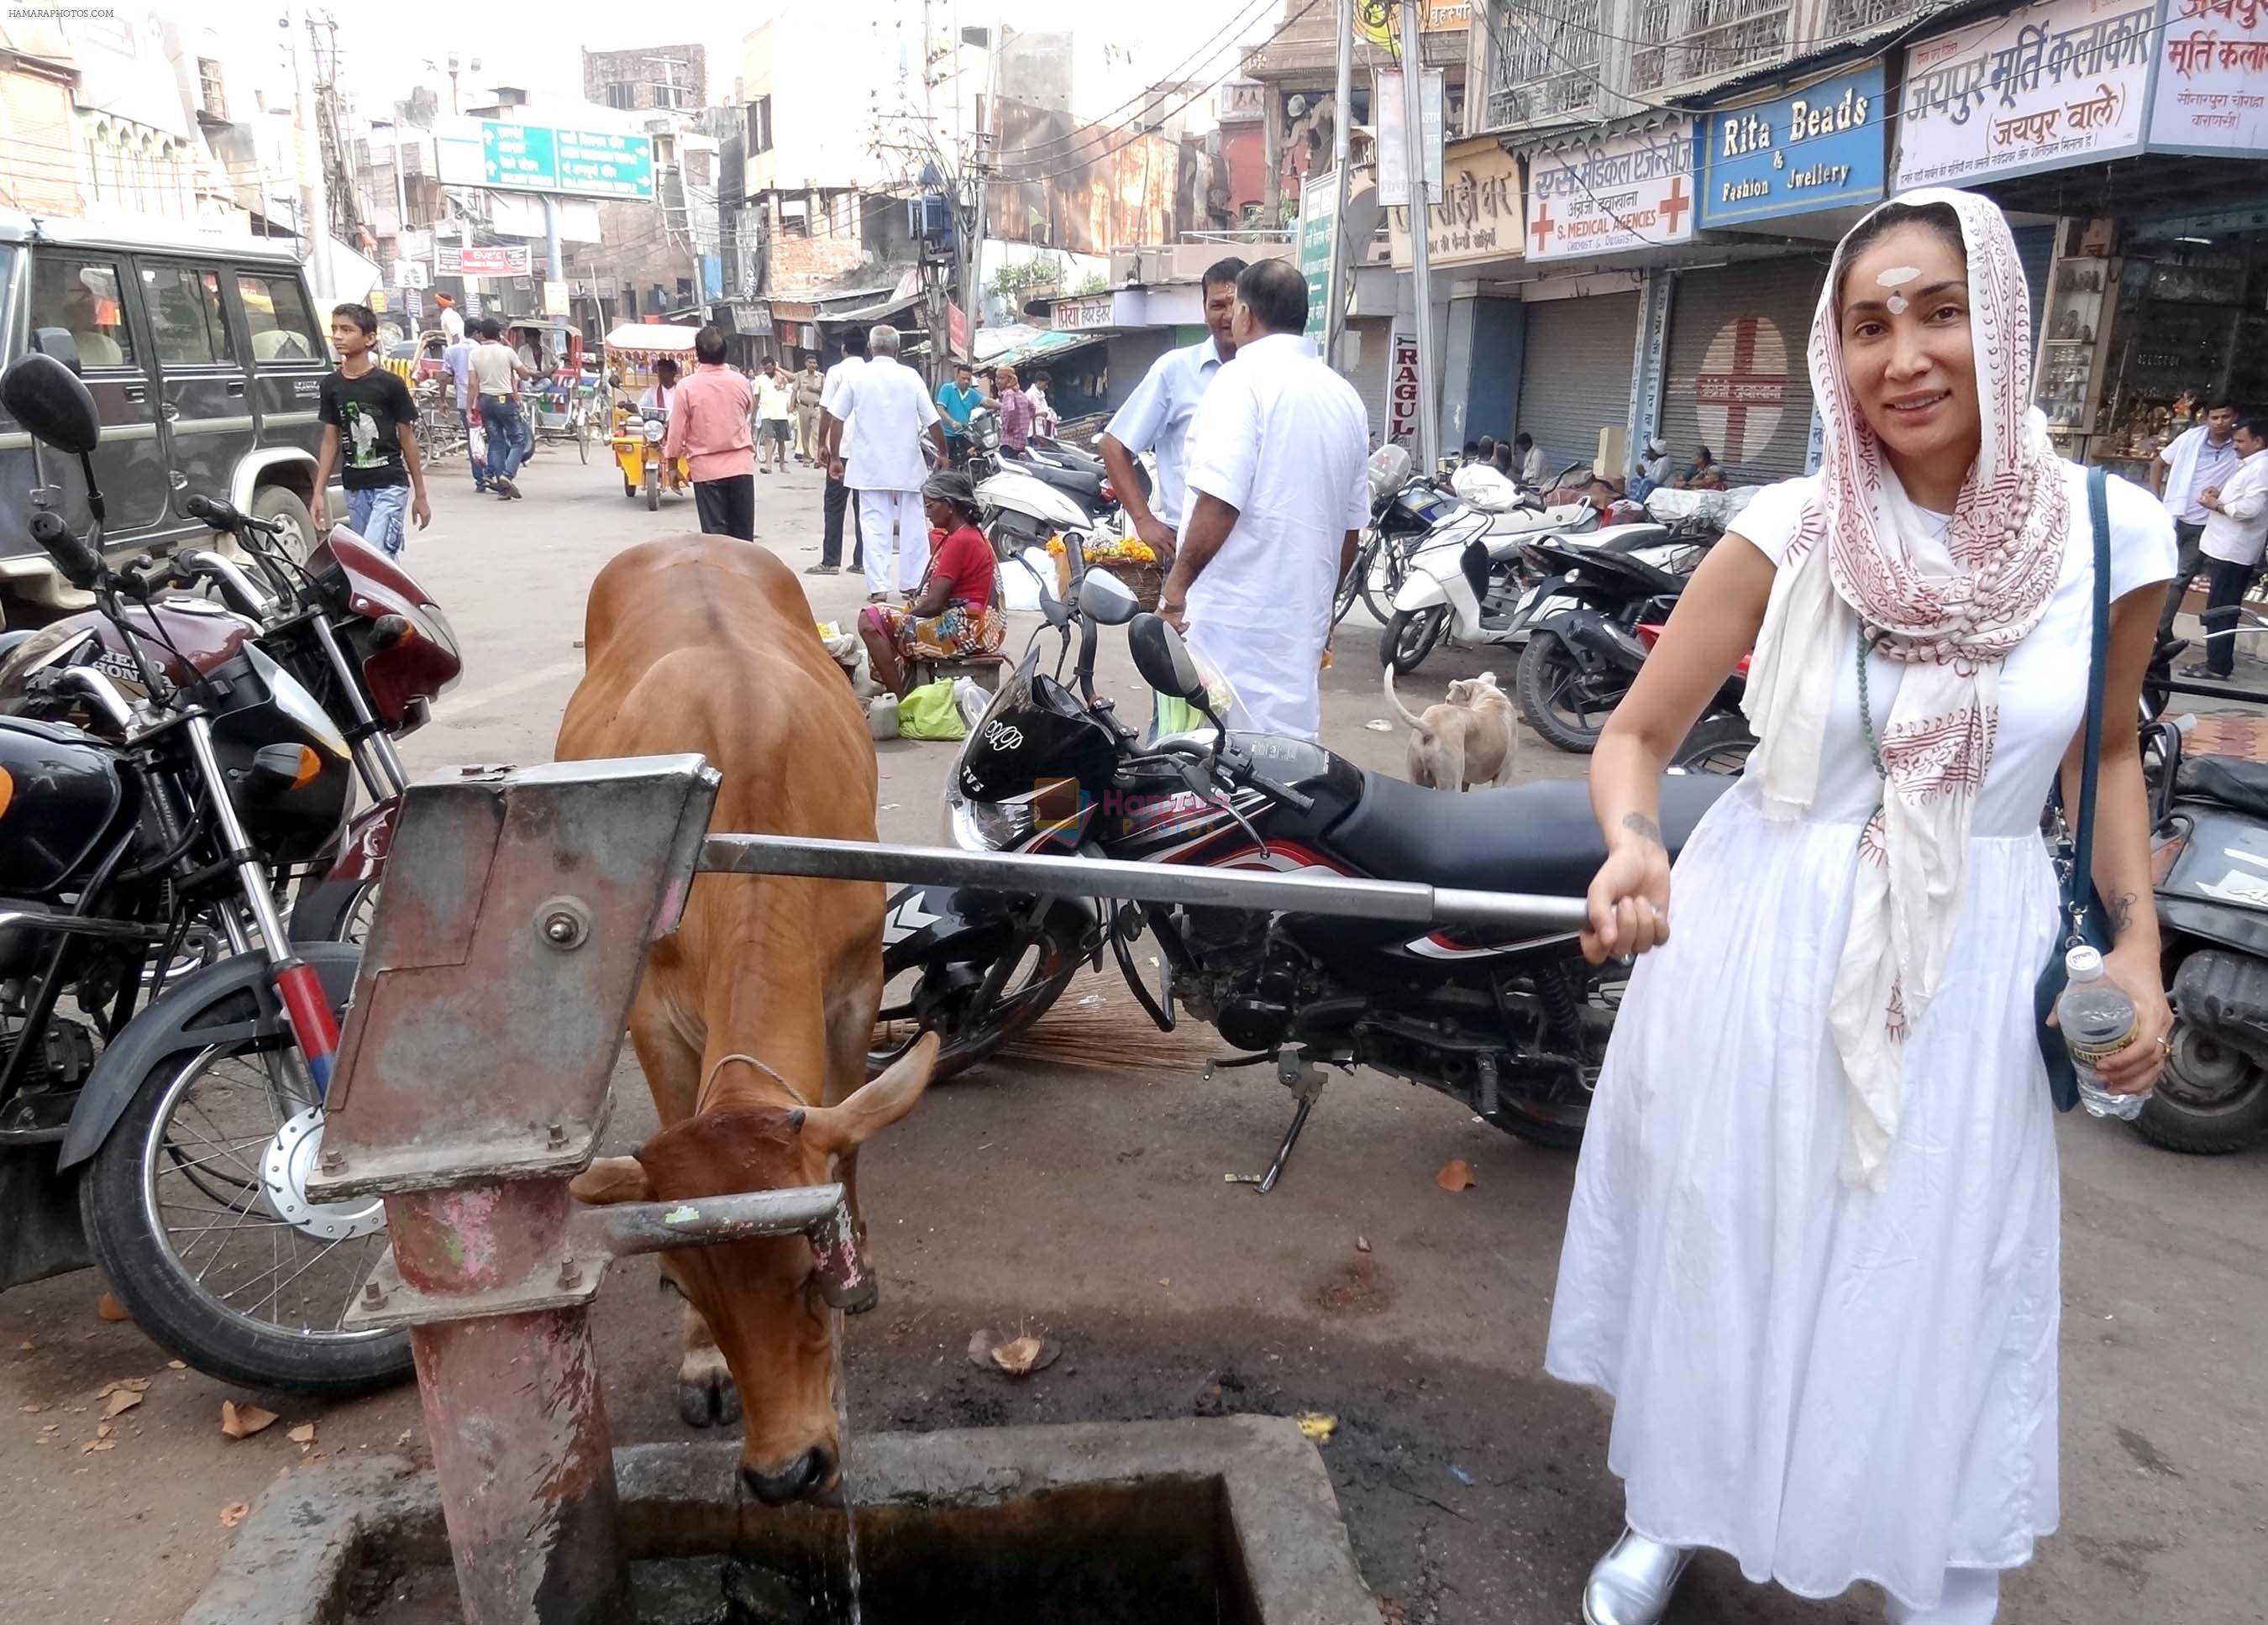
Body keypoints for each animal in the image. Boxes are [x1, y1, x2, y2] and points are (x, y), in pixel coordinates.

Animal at [553, 539, 934, 1504]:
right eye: (687, 1286)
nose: (783, 1474)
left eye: (807, 1277)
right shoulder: (654, 1016)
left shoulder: (856, 989)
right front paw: (701, 1364)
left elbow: (850, 1147)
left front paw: (859, 1260)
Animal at [1388, 670, 1515, 789]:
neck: (1490, 696)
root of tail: (1430, 726)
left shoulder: (1465, 781)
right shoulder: (1500, 779)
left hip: (1419, 778)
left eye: (1448, 700)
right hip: (1450, 783)